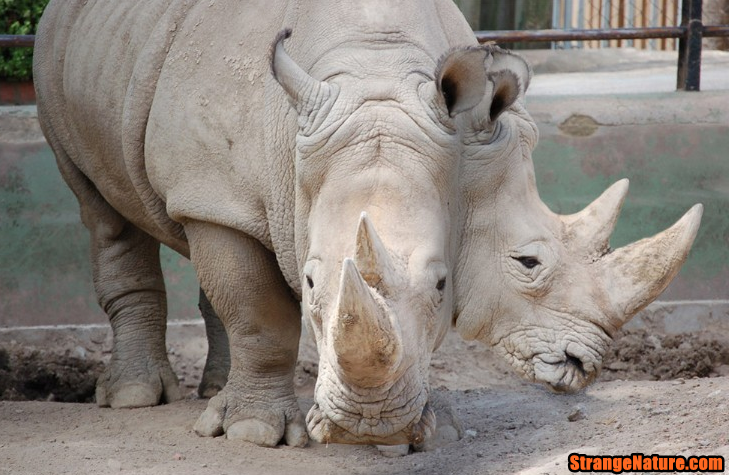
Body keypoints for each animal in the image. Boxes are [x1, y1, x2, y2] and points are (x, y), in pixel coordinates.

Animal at [33, 0, 530, 447]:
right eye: (309, 282)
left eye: (443, 284)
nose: (370, 422)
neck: (375, 69)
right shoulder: (212, 187)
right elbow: (258, 311)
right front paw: (252, 431)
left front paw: (436, 428)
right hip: (55, 71)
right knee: (102, 209)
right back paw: (135, 396)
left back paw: (214, 391)